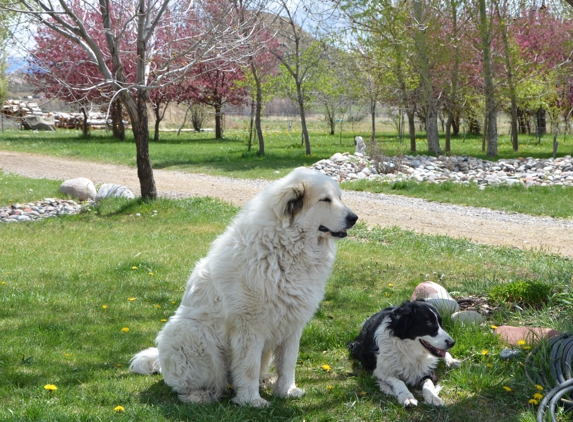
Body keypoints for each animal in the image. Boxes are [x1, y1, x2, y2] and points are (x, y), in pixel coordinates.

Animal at [128, 167, 358, 406]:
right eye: (325, 200)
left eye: (340, 198)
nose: (354, 218)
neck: (285, 246)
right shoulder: (250, 327)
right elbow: (248, 367)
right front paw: (251, 401)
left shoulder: (293, 325)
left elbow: (288, 363)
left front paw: (286, 391)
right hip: (190, 333)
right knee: (190, 383)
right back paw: (201, 395)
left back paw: (264, 380)